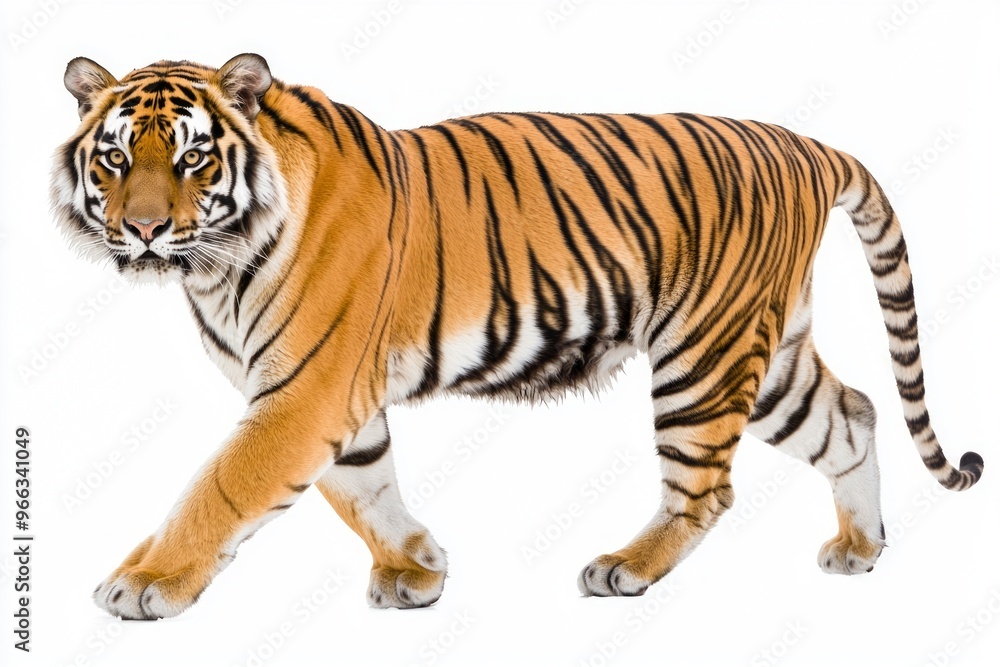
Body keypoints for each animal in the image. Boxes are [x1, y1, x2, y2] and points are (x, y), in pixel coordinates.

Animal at [51, 53, 984, 621]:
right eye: (115, 158)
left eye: (192, 158)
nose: (141, 229)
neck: (215, 263)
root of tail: (808, 143)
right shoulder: (334, 393)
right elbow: (363, 485)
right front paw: (416, 567)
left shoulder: (303, 391)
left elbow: (223, 486)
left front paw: (143, 581)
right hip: (768, 352)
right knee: (853, 414)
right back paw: (861, 547)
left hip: (702, 355)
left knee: (708, 489)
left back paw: (627, 566)